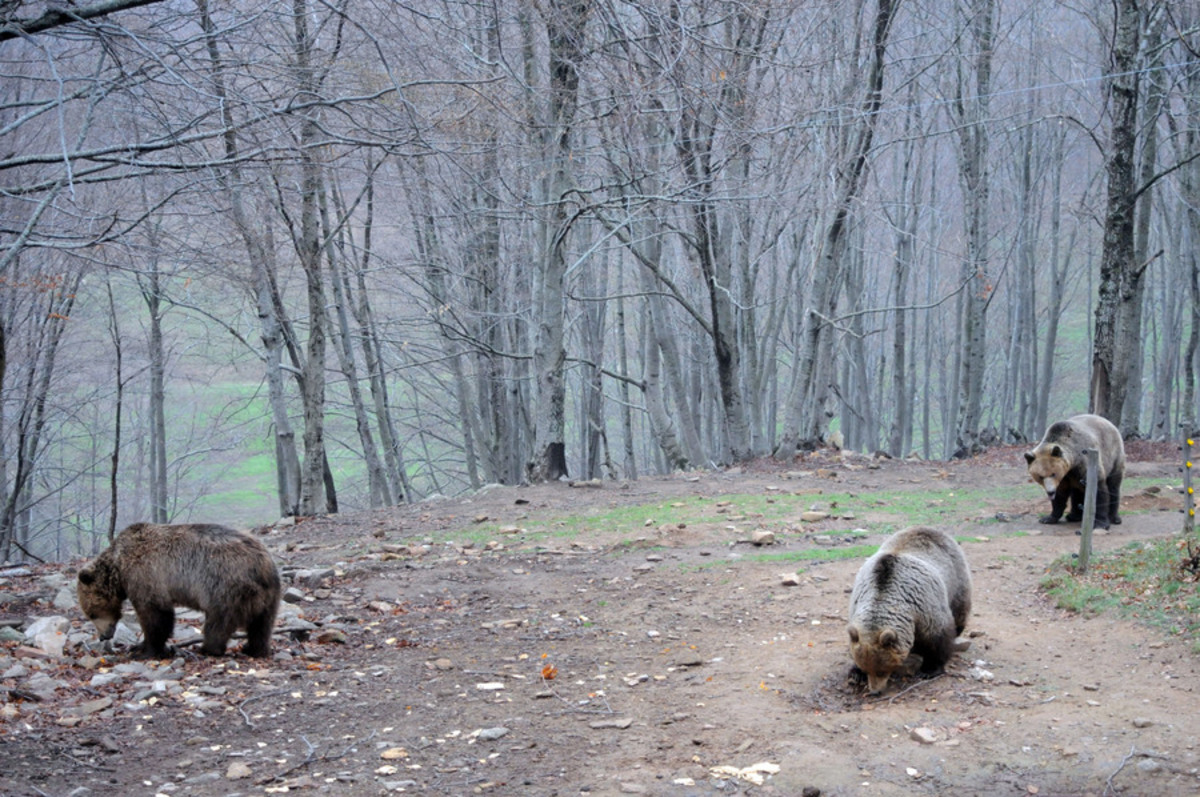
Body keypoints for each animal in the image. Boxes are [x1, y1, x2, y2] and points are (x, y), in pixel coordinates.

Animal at [78, 520, 280, 657]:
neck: (118, 568)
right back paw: (253, 648)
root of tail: (263, 565)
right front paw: (140, 646)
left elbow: (156, 614)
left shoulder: (146, 574)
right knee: (262, 625)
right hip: (269, 595)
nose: (103, 636)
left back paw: (207, 648)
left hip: (224, 587)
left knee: (218, 622)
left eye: (92, 614)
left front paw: (146, 649)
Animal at [844, 525, 974, 696]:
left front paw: (930, 669)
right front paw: (855, 674)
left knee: (960, 610)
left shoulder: (925, 606)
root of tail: (929, 529)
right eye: (867, 669)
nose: (875, 691)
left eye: (881, 670)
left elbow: (938, 638)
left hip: (956, 579)